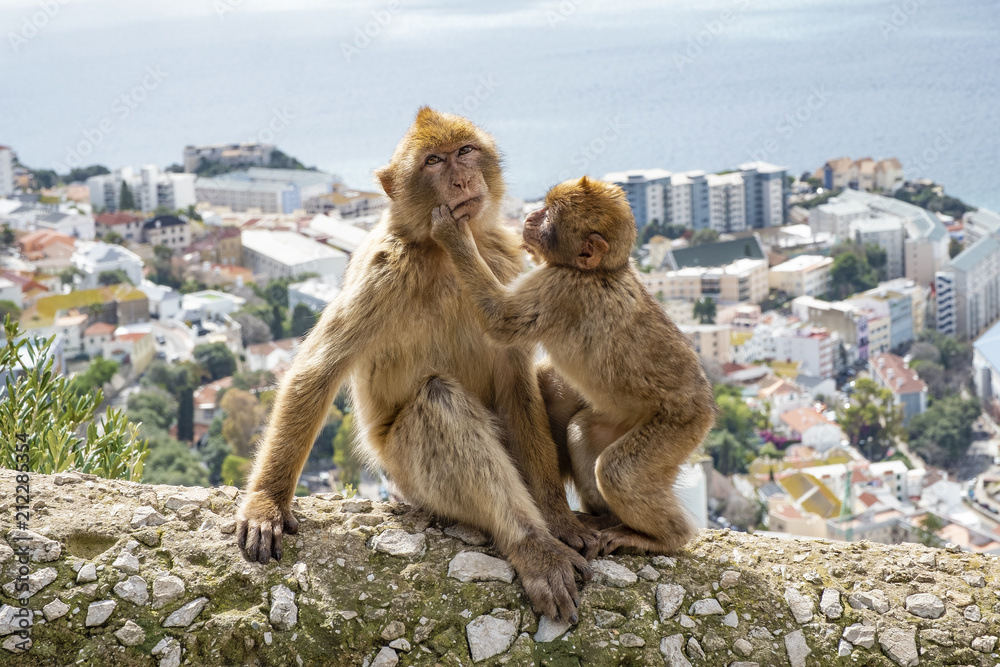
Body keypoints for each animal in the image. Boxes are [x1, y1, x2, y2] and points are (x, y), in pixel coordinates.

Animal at [235, 108, 598, 624]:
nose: (462, 177)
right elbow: (317, 372)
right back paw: (533, 549)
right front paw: (266, 502)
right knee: (438, 400)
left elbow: (517, 381)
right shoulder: (382, 272)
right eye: (433, 161)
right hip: (406, 474)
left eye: (464, 151)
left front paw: (559, 517)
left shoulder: (507, 265)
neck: (445, 254)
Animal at [429, 175, 717, 555]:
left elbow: (501, 320)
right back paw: (605, 517)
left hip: (679, 426)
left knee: (617, 472)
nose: (531, 215)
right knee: (581, 430)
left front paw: (453, 235)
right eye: (544, 206)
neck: (598, 271)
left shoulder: (559, 288)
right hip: (621, 421)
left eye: (550, 214)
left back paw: (658, 537)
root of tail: (707, 405)